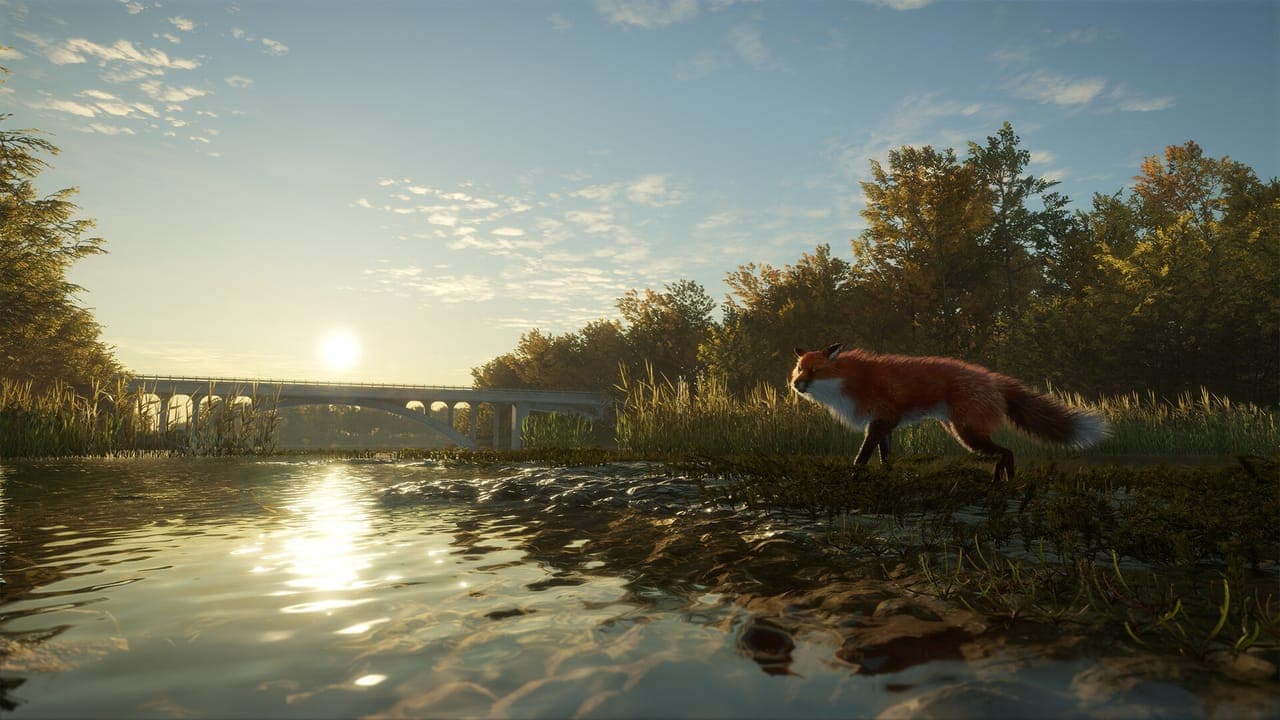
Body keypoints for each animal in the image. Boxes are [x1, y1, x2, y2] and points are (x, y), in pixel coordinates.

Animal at [790, 343, 1110, 484]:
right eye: (799, 369)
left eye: (814, 371)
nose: (795, 384)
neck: (852, 381)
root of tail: (992, 378)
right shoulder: (885, 423)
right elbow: (885, 457)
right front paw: (887, 475)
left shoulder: (881, 421)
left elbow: (863, 456)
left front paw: (853, 474)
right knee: (1005, 452)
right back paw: (1004, 479)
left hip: (967, 433)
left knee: (1006, 452)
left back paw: (1003, 478)